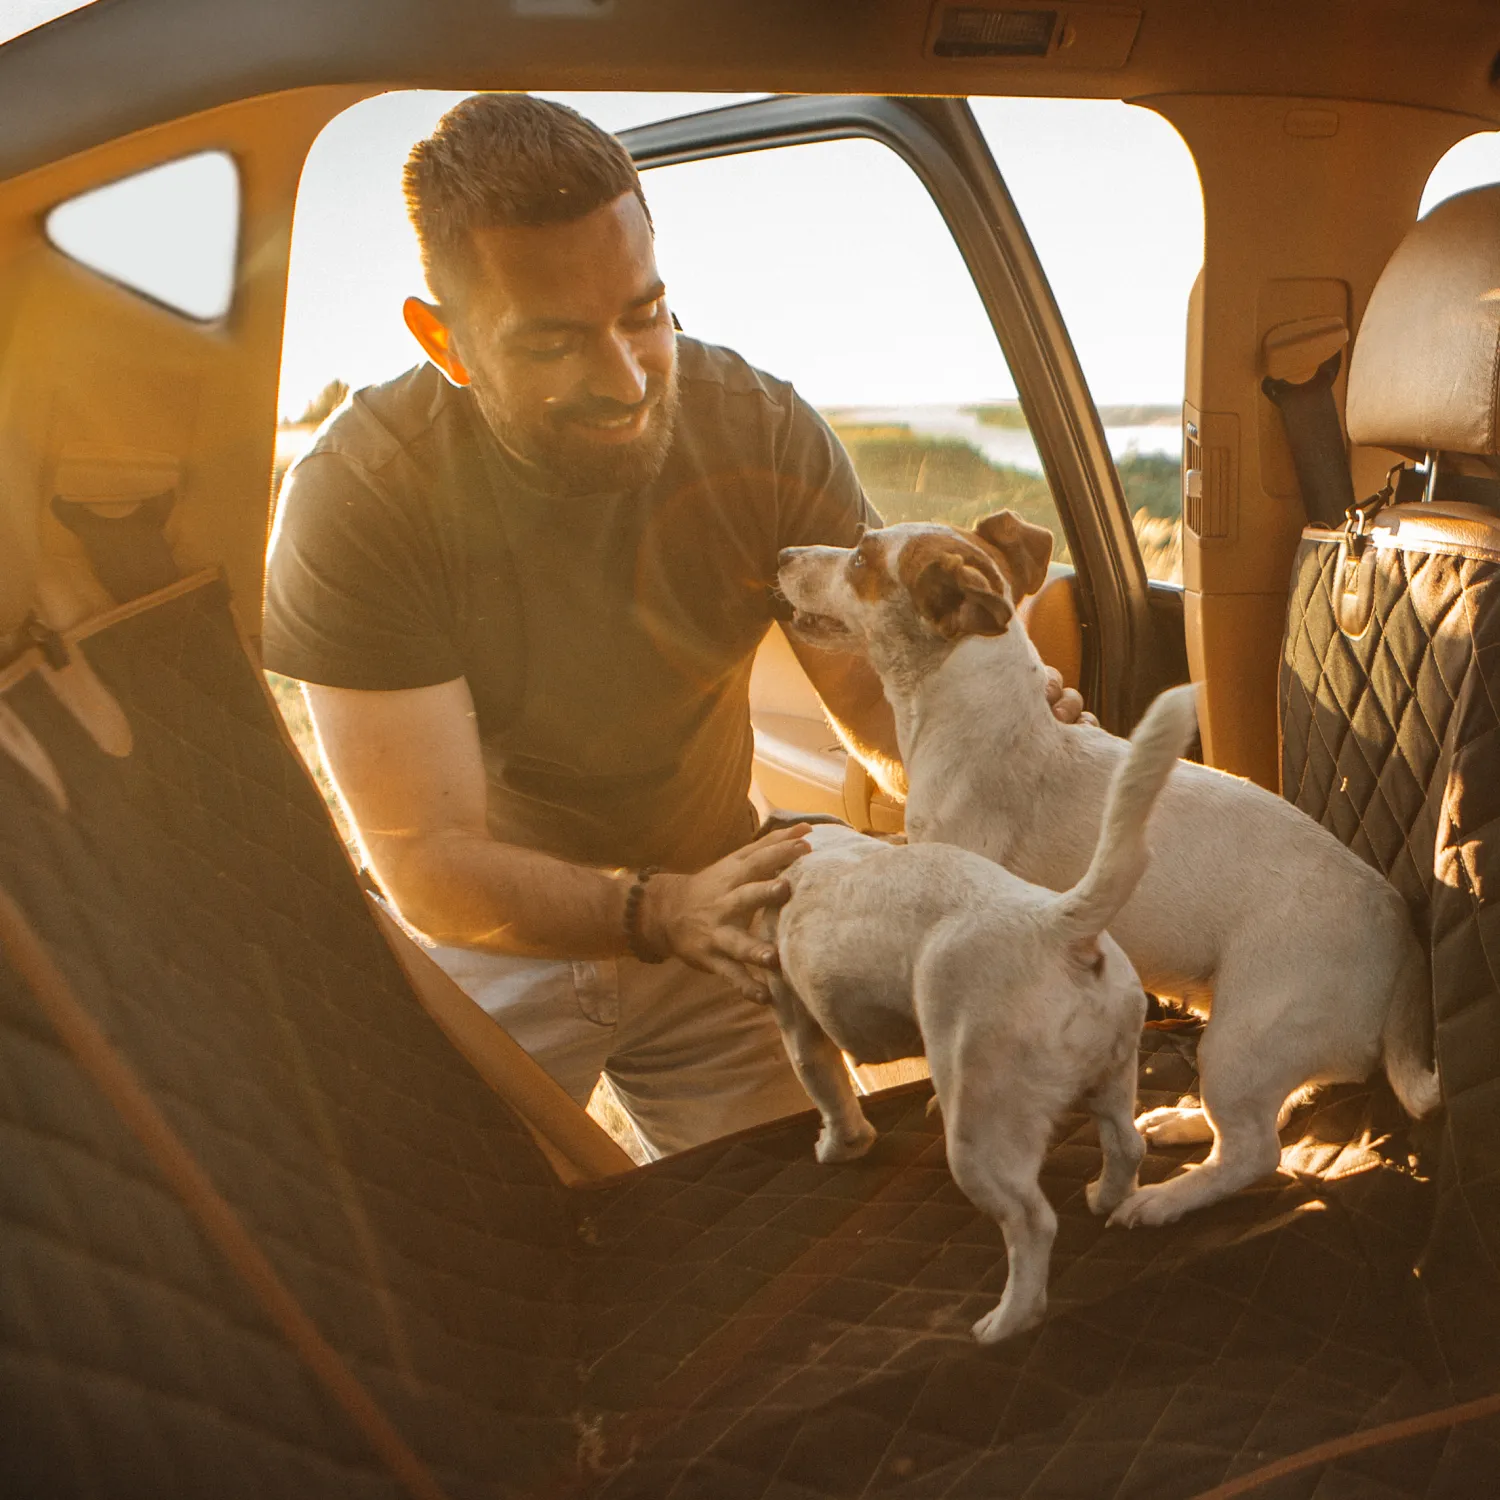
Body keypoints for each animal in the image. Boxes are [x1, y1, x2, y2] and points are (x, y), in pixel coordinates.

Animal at [762, 687, 1194, 1344]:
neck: (824, 852)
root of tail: (1057, 927)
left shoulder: (800, 1024)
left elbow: (829, 1093)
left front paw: (838, 1146)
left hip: (981, 1139)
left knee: (1032, 1224)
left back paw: (1008, 1320)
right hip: (1113, 1072)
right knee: (1126, 1145)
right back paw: (1103, 1197)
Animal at [780, 513, 1434, 1230]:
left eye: (861, 557)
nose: (782, 553)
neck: (991, 727)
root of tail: (1402, 936)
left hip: (1242, 1036)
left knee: (1255, 1152)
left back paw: (1165, 1199)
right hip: (1252, 1041)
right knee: (1277, 1108)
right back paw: (1184, 1123)